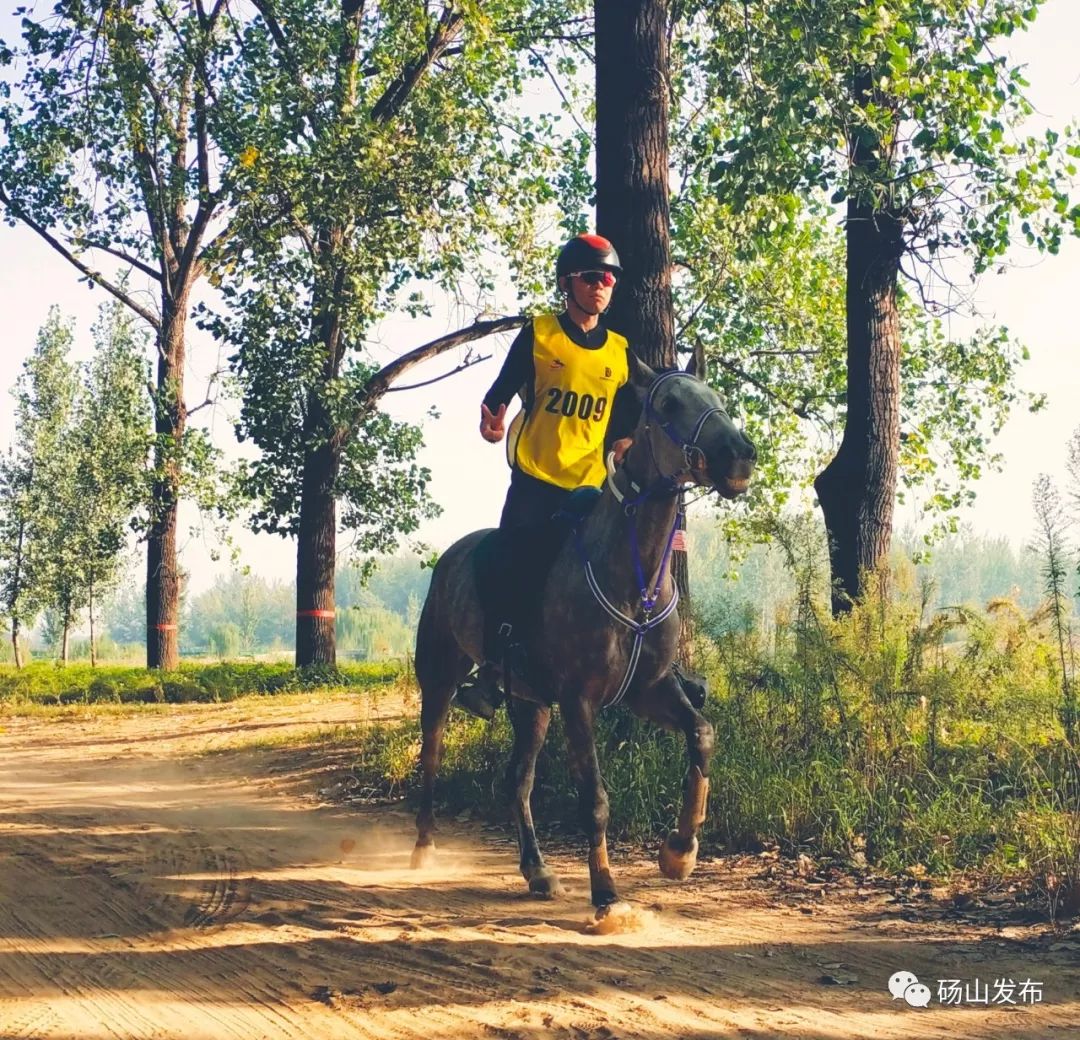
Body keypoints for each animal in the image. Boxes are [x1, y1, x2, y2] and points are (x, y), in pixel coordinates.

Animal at [408, 356, 756, 911]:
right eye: (668, 404)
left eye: (716, 397)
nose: (738, 455)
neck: (634, 580)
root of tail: (452, 555)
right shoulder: (579, 700)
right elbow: (594, 798)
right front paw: (607, 893)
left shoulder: (647, 689)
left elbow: (702, 735)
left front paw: (679, 851)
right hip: (440, 681)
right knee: (432, 757)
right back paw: (424, 847)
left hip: (531, 705)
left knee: (518, 780)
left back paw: (537, 870)